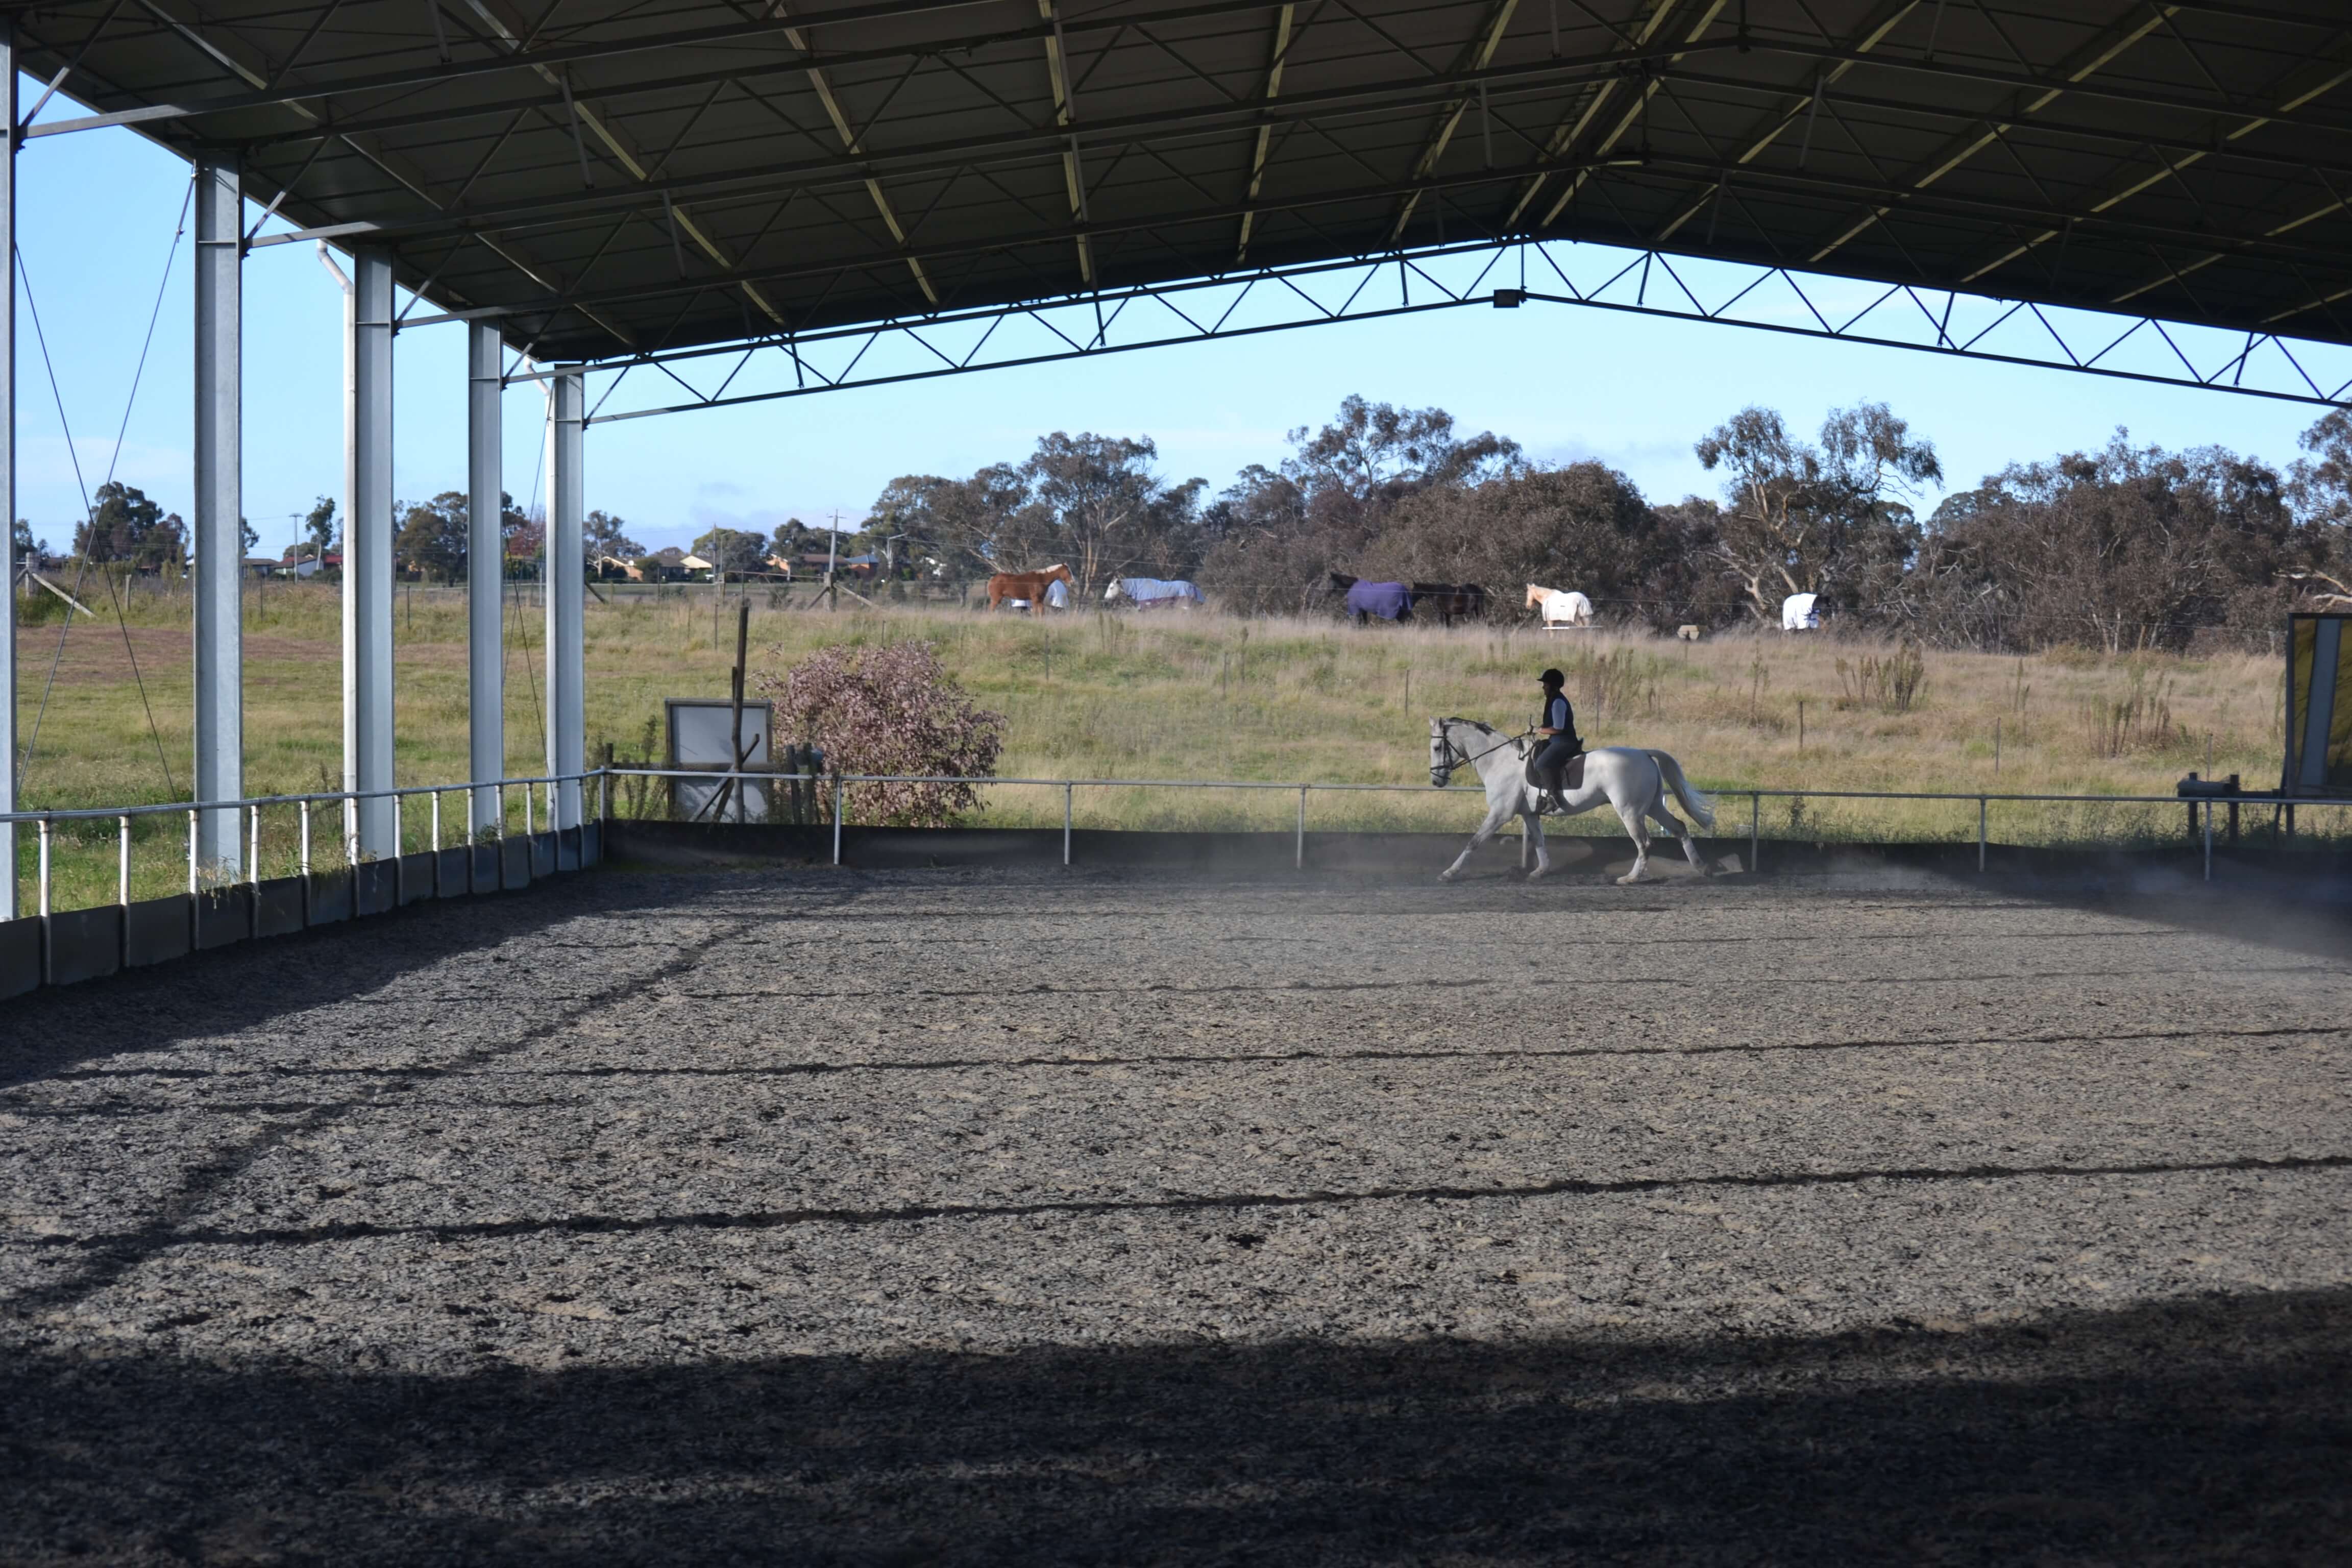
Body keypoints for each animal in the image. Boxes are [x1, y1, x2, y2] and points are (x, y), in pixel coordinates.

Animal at [983, 564, 1077, 611]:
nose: (1073, 582)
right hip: (996, 599)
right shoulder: (1035, 599)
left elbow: (1041, 613)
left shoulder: (1040, 600)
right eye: (1068, 571)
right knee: (991, 609)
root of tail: (992, 579)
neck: (1042, 578)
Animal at [1420, 719, 1722, 884]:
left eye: (1437, 747)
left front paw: (1449, 873)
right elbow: (1539, 842)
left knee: (1645, 843)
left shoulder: (1500, 813)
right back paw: (1702, 868)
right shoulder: (1529, 814)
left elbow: (1474, 841)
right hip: (1653, 807)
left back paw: (1630, 879)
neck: (1499, 760)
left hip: (1630, 811)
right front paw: (1539, 872)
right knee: (1679, 827)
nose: (1436, 781)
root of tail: (1644, 754)